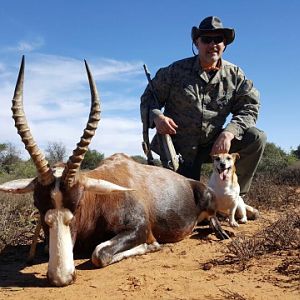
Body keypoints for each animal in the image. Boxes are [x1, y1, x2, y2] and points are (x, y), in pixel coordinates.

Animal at [0, 57, 226, 288]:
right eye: (37, 204)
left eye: (78, 203)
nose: (61, 277)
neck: (99, 200)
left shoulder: (139, 228)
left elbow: (99, 254)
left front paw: (152, 246)